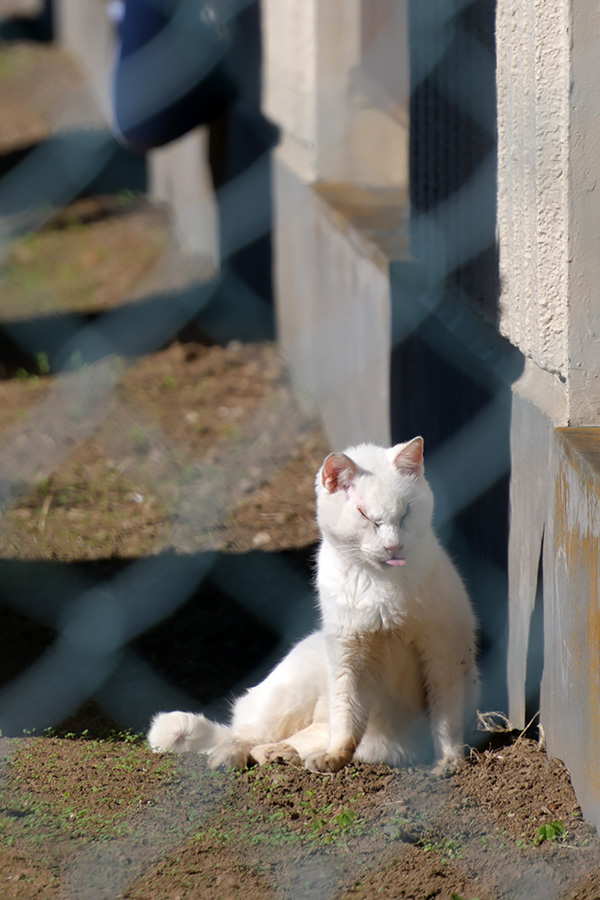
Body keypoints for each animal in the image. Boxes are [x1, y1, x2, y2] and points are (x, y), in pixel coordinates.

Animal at [149, 438, 478, 772]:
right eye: (367, 517)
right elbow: (346, 724)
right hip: (288, 699)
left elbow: (445, 720)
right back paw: (230, 758)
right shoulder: (348, 660)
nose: (393, 547)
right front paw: (334, 759)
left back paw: (281, 755)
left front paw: (449, 761)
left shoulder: (443, 657)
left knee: (284, 741)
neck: (381, 587)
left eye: (406, 513)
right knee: (241, 735)